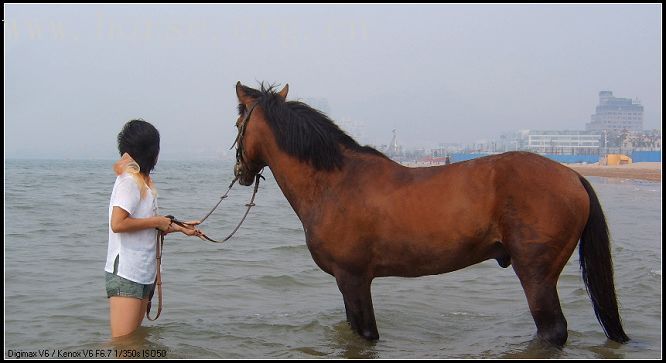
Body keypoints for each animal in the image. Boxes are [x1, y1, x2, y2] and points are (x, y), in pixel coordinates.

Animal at [230, 82, 628, 346]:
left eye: (237, 125)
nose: (241, 172)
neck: (334, 183)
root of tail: (572, 175)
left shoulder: (353, 279)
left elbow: (366, 334)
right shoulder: (348, 283)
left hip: (536, 274)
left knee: (552, 331)